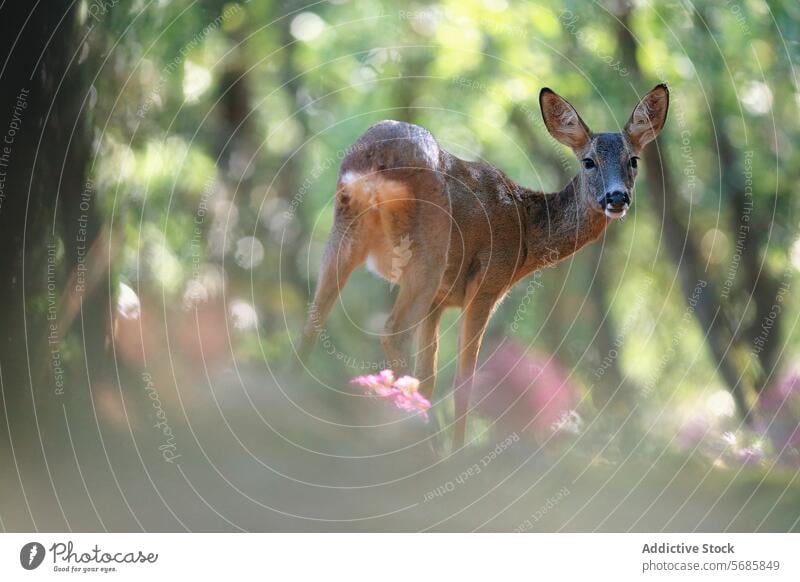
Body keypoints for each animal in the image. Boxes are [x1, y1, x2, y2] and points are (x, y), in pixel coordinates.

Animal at [300, 85, 668, 452]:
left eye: (633, 160)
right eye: (589, 161)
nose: (617, 198)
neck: (526, 233)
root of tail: (375, 162)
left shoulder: (440, 301)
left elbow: (428, 375)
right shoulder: (487, 284)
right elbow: (464, 380)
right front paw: (455, 452)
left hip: (344, 233)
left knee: (311, 326)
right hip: (427, 254)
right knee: (392, 330)